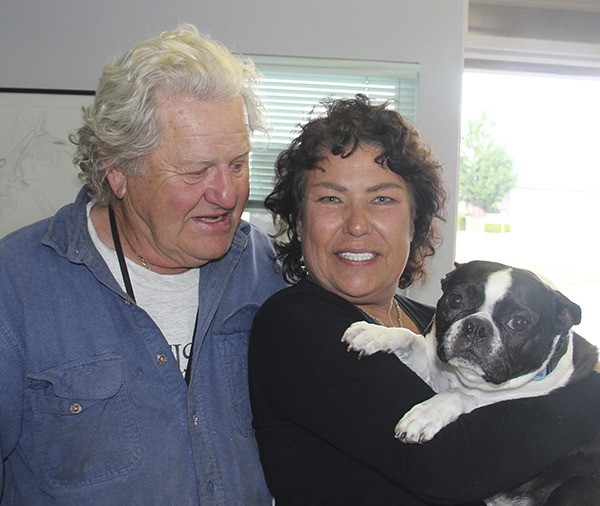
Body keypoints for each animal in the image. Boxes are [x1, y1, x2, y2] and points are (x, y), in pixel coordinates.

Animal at [342, 258, 600, 504]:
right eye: (456, 300)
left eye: (519, 322)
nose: (476, 326)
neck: (467, 378)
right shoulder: (433, 369)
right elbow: (410, 338)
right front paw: (375, 333)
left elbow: (461, 396)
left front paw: (425, 415)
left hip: (578, 485)